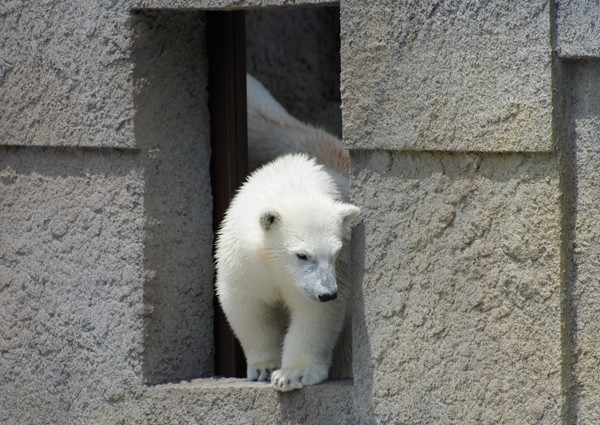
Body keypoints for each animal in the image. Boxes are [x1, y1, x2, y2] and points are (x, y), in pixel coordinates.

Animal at [214, 153, 358, 390]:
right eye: (302, 255)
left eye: (335, 252)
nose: (327, 293)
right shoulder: (243, 261)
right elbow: (246, 303)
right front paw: (265, 368)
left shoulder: (340, 267)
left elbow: (313, 312)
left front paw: (292, 374)